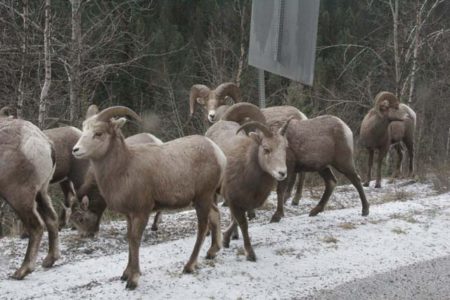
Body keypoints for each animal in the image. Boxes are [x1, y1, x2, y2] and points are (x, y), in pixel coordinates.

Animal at [0, 117, 59, 278]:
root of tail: (45, 143)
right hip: (41, 192)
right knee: (51, 218)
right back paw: (49, 260)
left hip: (18, 195)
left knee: (36, 226)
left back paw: (22, 271)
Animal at [72, 105, 225, 288]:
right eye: (83, 129)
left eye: (99, 133)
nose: (75, 150)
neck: (124, 168)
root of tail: (218, 153)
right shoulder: (129, 215)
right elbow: (129, 239)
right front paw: (125, 274)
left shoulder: (141, 212)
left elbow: (135, 240)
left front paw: (133, 280)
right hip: (205, 198)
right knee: (215, 215)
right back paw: (212, 252)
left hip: (202, 198)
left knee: (203, 227)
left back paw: (189, 266)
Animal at [206, 102, 290, 260]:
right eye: (266, 149)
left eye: (285, 149)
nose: (282, 173)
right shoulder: (234, 201)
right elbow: (243, 223)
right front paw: (250, 254)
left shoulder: (244, 204)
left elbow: (236, 220)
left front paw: (226, 239)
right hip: (212, 192)